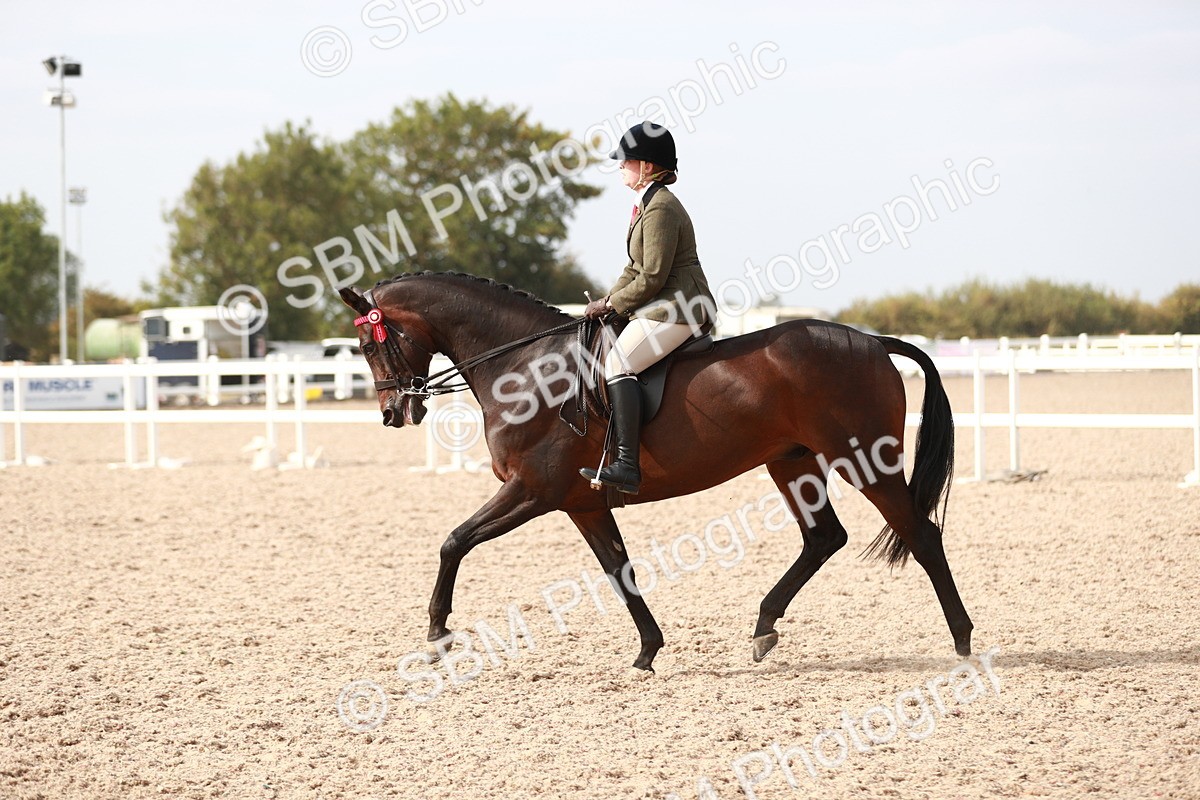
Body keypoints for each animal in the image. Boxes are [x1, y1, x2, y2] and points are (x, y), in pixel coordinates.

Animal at [339, 272, 973, 671]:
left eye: (371, 344)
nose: (394, 412)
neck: (524, 366)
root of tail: (871, 340)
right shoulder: (582, 502)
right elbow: (619, 571)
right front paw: (648, 650)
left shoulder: (533, 490)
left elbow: (454, 541)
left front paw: (437, 634)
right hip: (791, 462)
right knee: (823, 538)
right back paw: (764, 626)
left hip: (864, 460)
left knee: (921, 535)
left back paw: (963, 641)